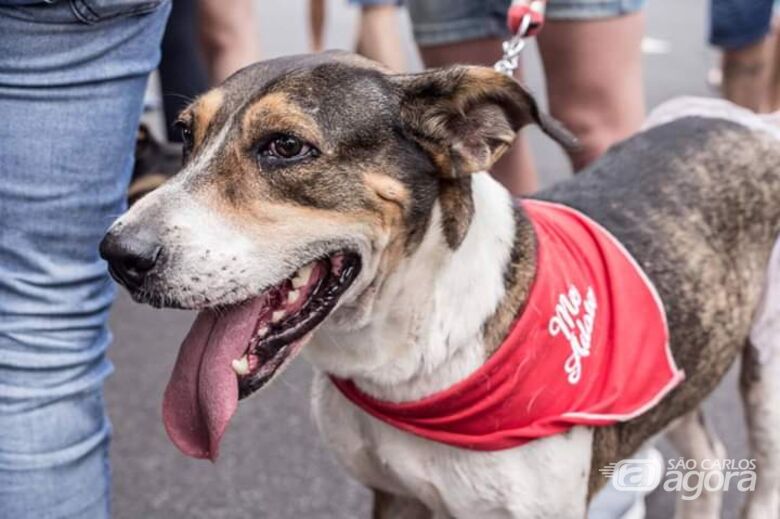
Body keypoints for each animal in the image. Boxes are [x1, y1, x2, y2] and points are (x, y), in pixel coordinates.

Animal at [99, 53, 780, 519]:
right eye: (185, 135)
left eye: (286, 146)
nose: (118, 255)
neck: (411, 359)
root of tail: (753, 122)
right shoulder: (393, 495)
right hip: (683, 363)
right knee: (708, 460)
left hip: (766, 386)